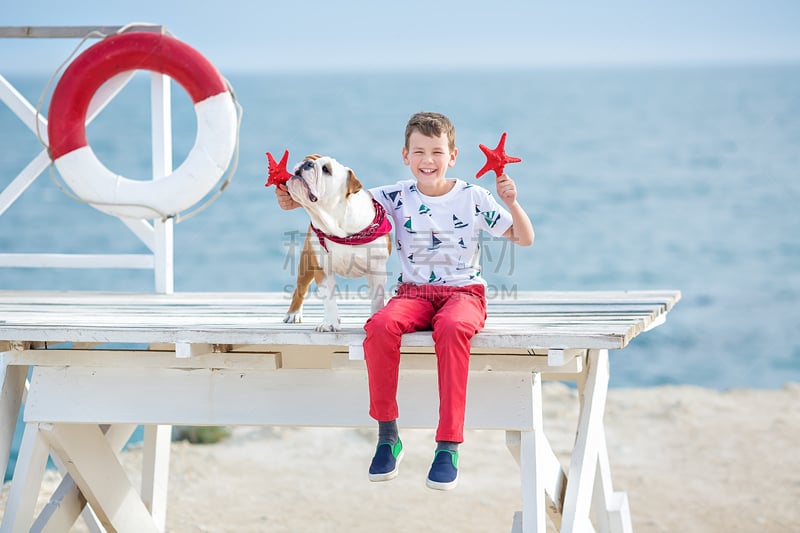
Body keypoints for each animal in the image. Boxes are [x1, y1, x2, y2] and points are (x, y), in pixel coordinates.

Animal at [284, 153, 390, 328]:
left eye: (326, 169)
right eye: (308, 158)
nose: (307, 163)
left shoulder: (377, 270)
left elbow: (377, 299)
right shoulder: (322, 269)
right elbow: (329, 300)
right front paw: (330, 323)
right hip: (307, 262)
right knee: (301, 287)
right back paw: (293, 313)